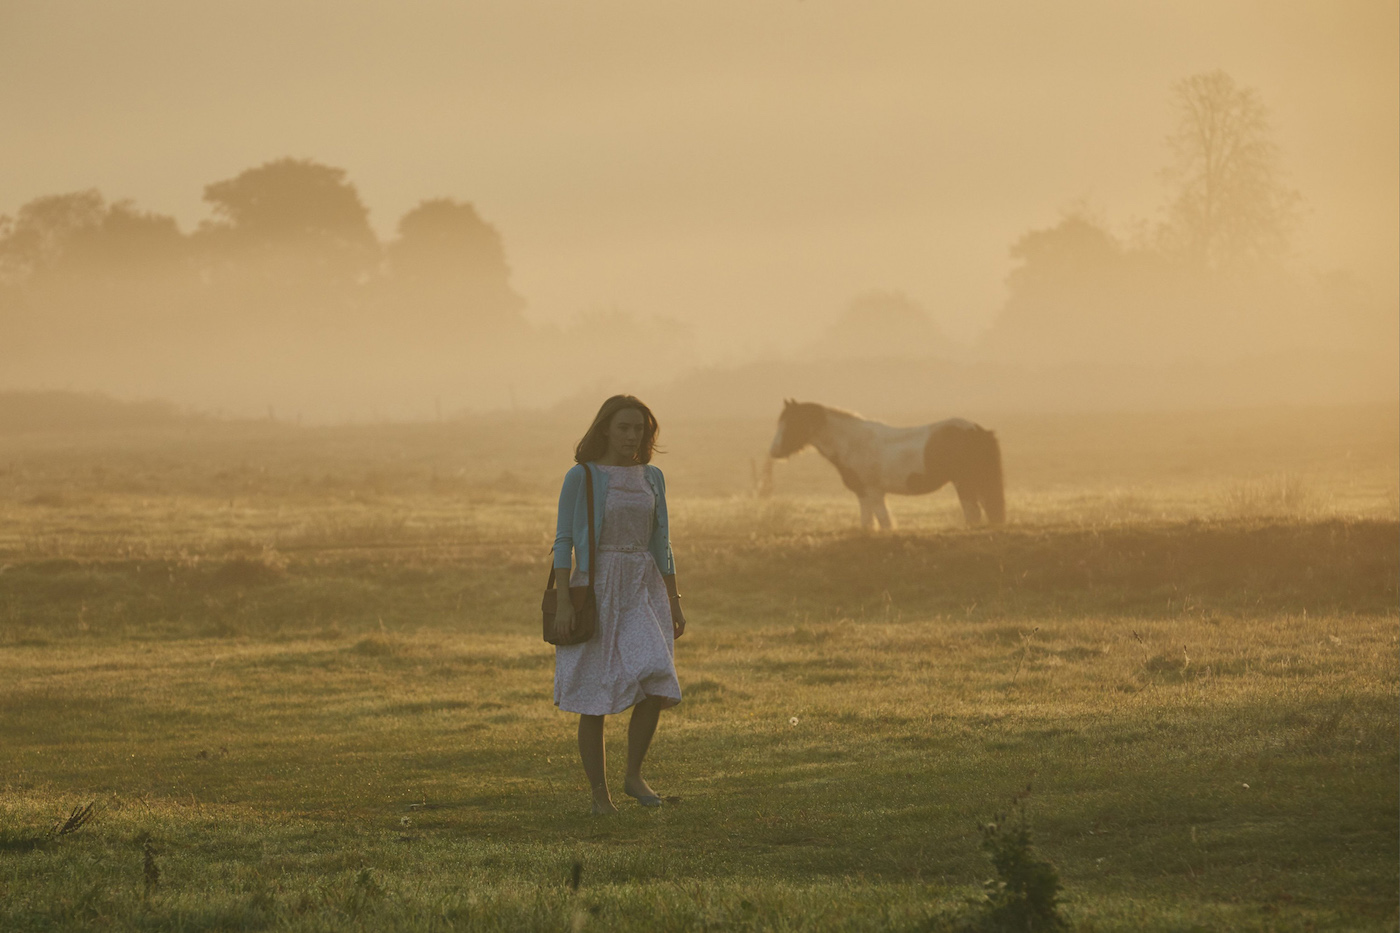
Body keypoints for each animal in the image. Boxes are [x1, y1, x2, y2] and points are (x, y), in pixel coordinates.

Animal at [767, 397, 1008, 529]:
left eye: (792, 422)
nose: (773, 451)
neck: (854, 442)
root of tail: (977, 430)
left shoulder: (874, 492)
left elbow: (884, 523)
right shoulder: (863, 494)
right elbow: (868, 525)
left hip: (964, 483)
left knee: (973, 515)